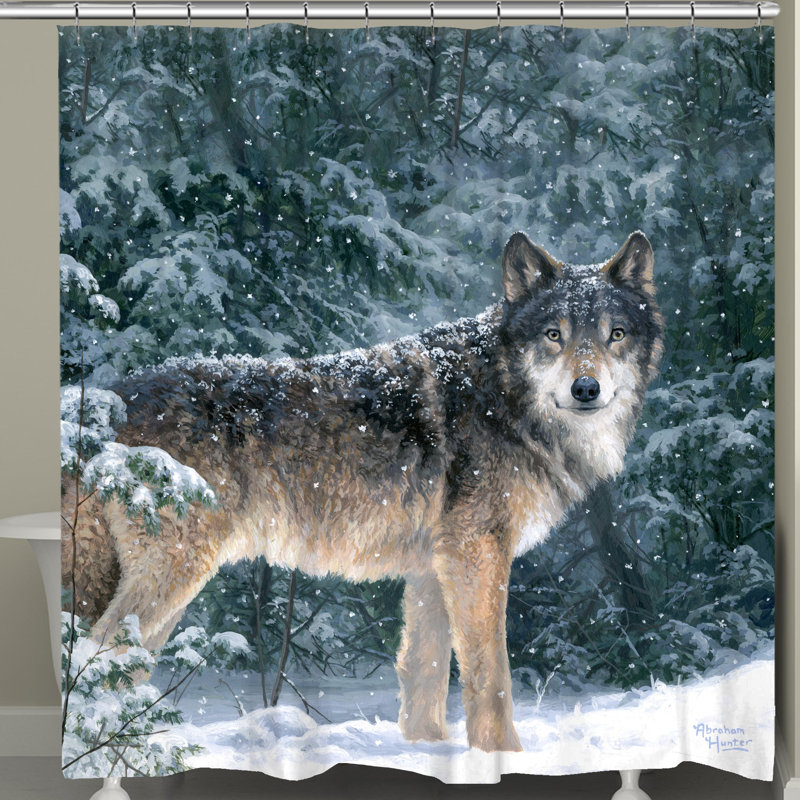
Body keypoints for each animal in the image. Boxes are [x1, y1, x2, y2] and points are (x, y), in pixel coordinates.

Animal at [62, 230, 663, 752]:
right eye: (553, 335)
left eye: (614, 334)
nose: (586, 388)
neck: (502, 396)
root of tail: (105, 401)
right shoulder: (478, 555)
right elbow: (491, 676)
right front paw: (504, 759)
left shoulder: (433, 568)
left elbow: (424, 677)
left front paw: (428, 754)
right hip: (173, 578)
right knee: (96, 657)